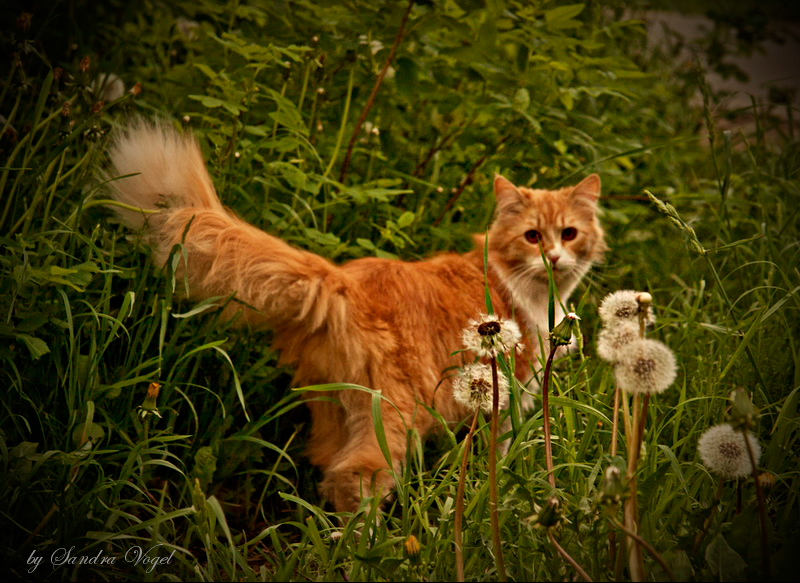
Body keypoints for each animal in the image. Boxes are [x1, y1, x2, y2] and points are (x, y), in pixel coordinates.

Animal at [106, 121, 608, 512]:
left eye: (569, 233)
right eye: (531, 236)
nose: (554, 258)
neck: (522, 288)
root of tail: (343, 279)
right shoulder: (510, 399)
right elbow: (500, 455)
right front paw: (495, 492)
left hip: (333, 411)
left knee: (328, 474)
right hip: (392, 415)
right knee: (358, 477)